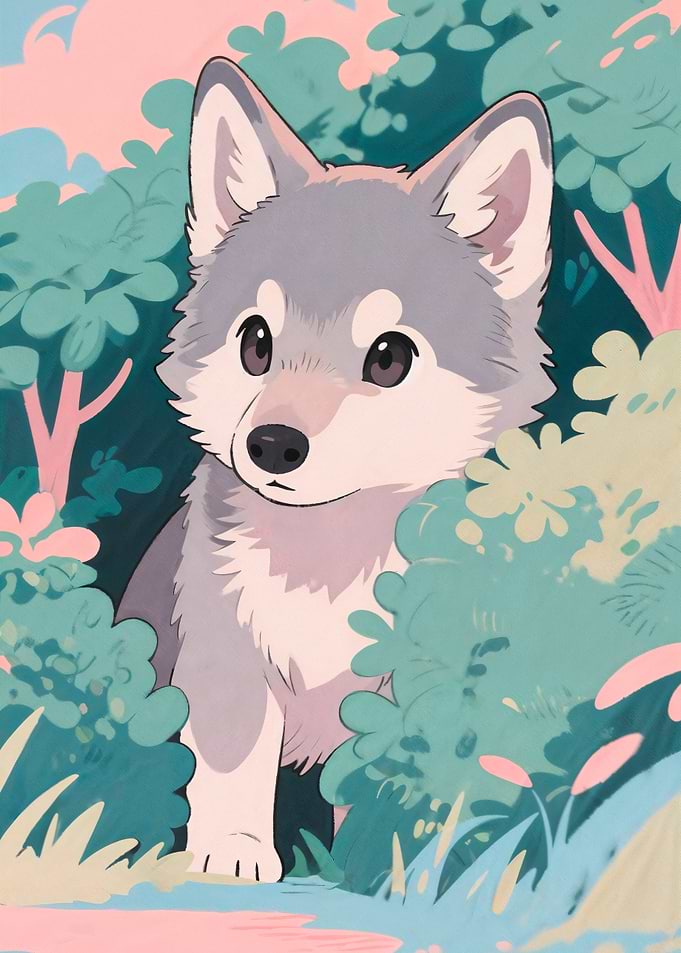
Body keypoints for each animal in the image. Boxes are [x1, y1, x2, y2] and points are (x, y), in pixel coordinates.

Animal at [118, 56, 554, 881]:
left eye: (388, 357)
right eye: (255, 343)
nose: (272, 444)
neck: (325, 559)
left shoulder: (404, 673)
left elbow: (387, 770)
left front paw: (385, 860)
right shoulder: (224, 656)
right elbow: (232, 760)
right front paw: (233, 852)